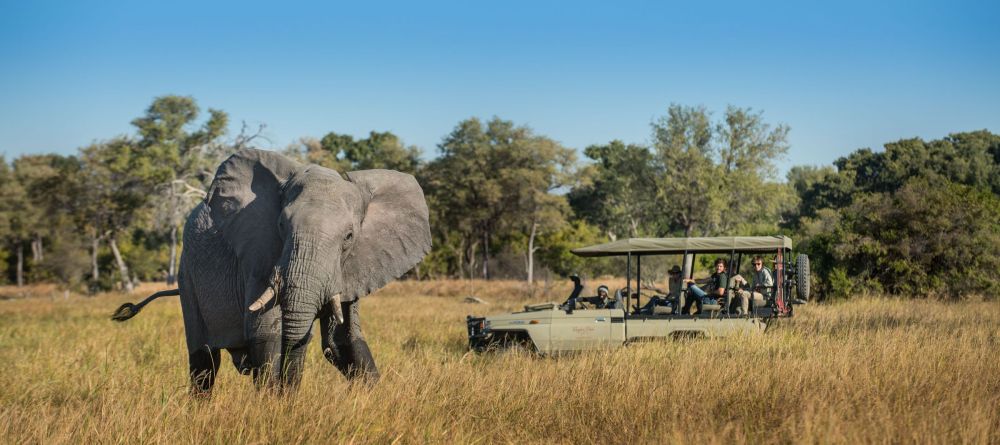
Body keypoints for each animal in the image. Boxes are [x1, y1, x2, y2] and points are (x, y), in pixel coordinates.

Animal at [112, 148, 430, 392]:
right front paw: (273, 405)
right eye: (281, 226)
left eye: (349, 237)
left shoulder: (354, 266)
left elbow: (346, 339)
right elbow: (267, 332)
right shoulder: (257, 257)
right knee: (204, 361)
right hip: (187, 272)